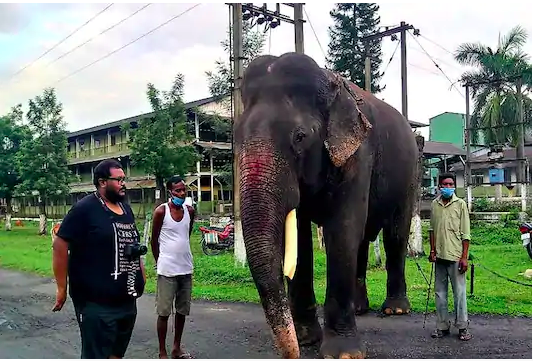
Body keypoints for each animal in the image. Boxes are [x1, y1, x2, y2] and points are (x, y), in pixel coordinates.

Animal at [234, 52, 420, 358]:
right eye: (235, 139)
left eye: (300, 137)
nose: (291, 352)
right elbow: (299, 239)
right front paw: (307, 339)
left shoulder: (359, 155)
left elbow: (342, 230)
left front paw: (344, 353)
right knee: (363, 242)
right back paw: (361, 308)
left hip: (410, 176)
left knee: (395, 234)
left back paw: (395, 310)